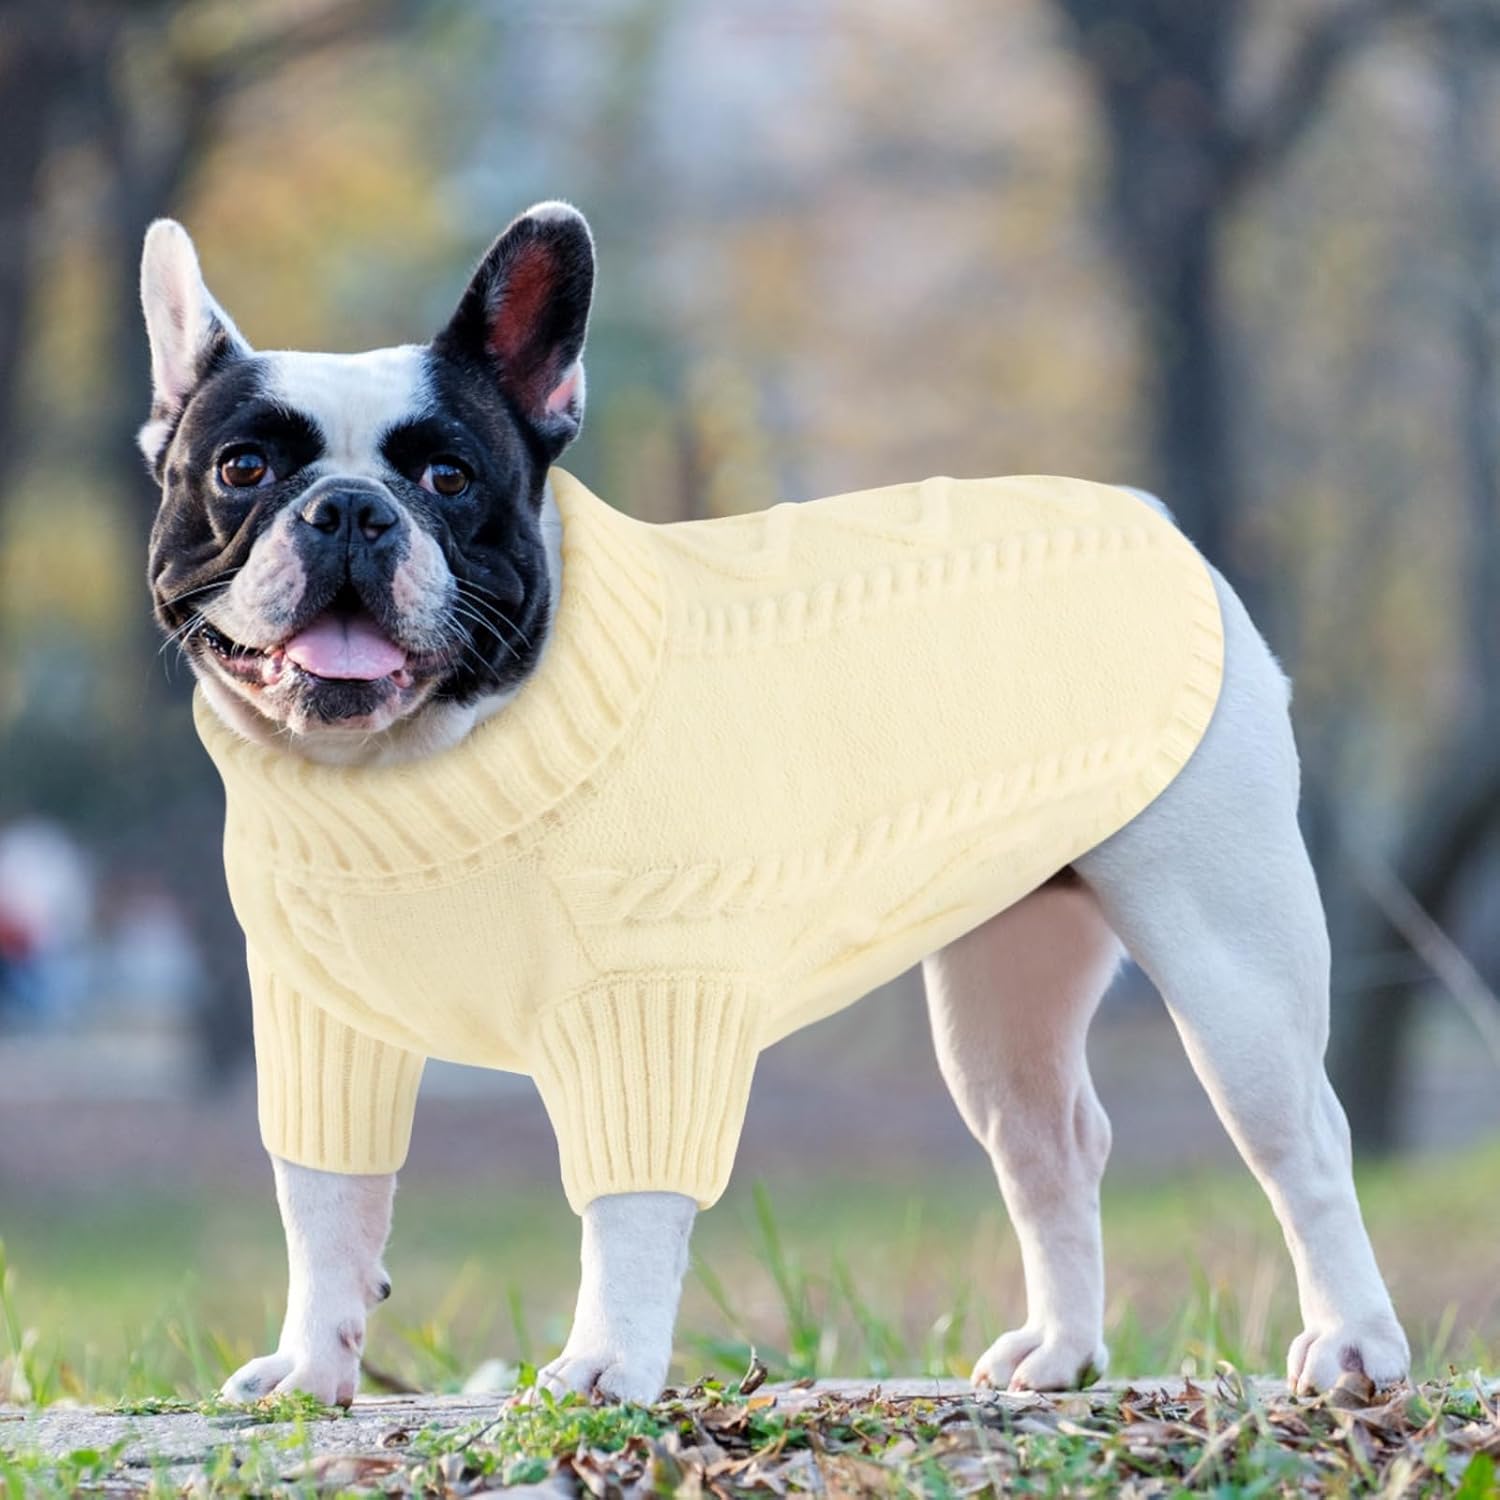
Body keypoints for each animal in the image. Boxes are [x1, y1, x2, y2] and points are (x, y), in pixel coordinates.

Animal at [137, 202, 1409, 1407]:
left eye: (449, 479)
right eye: (242, 470)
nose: (352, 509)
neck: (412, 769)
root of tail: (1152, 518)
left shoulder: (648, 1013)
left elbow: (627, 1206)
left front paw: (606, 1366)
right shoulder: (318, 1026)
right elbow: (326, 1204)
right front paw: (313, 1366)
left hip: (1227, 950)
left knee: (1302, 1140)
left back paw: (1354, 1344)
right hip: (1004, 989)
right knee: (1052, 1144)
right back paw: (1062, 1351)